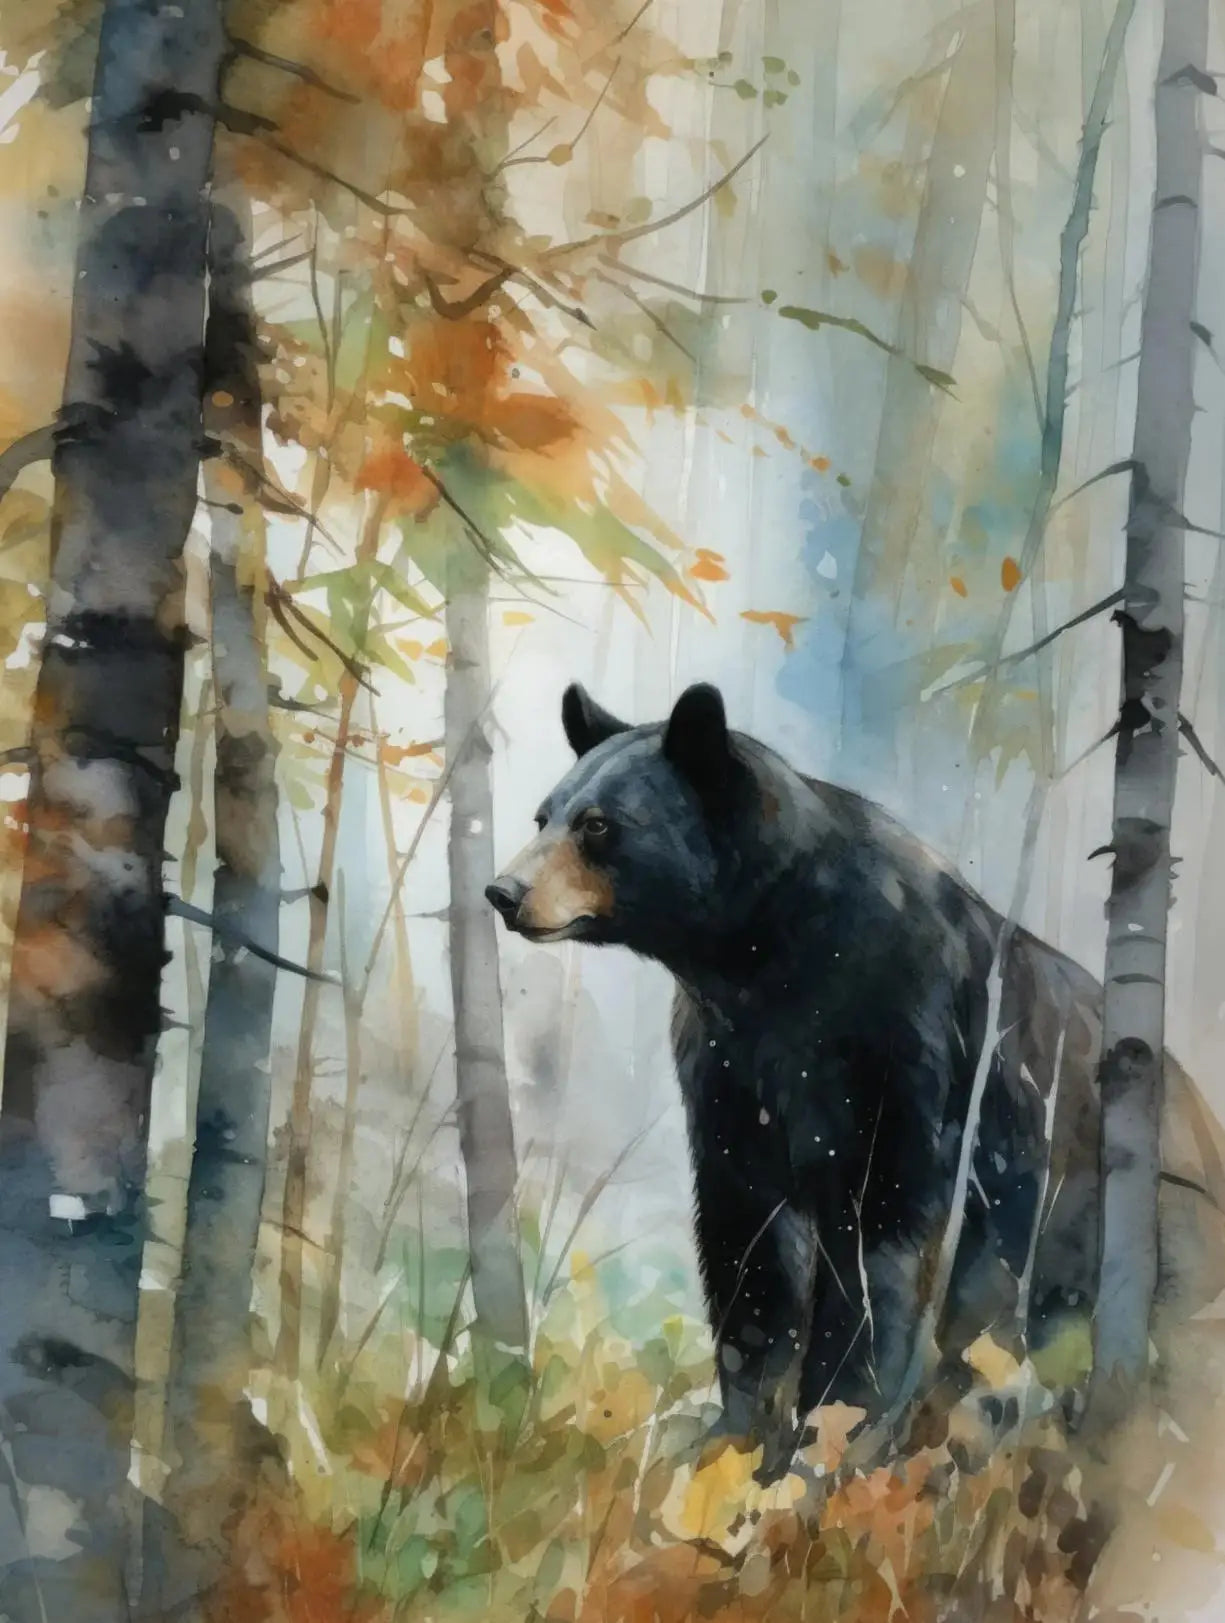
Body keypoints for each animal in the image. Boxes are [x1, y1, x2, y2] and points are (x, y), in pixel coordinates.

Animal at [486, 682, 1225, 1472]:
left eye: (598, 824)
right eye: (544, 814)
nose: (503, 889)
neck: (763, 960)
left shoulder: (901, 1040)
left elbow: (883, 1237)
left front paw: (836, 1427)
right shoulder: (727, 1068)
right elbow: (746, 1238)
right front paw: (734, 1438)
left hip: (1143, 1224)